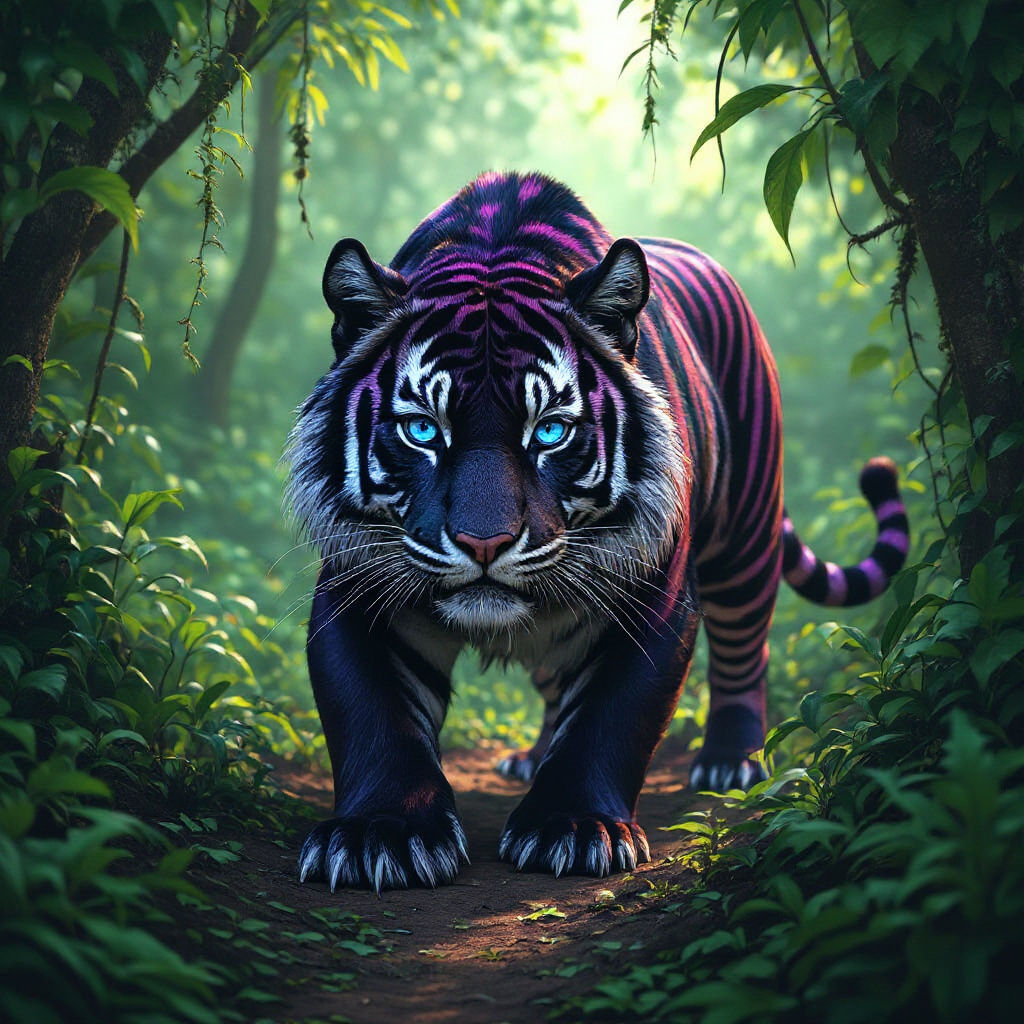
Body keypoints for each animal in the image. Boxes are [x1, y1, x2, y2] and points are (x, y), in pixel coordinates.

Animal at [287, 171, 909, 893]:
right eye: (422, 429)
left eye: (551, 431)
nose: (483, 543)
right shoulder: (358, 585)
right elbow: (371, 713)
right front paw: (380, 834)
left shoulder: (653, 597)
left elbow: (613, 718)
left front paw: (575, 827)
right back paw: (533, 756)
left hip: (747, 536)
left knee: (743, 651)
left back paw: (730, 761)